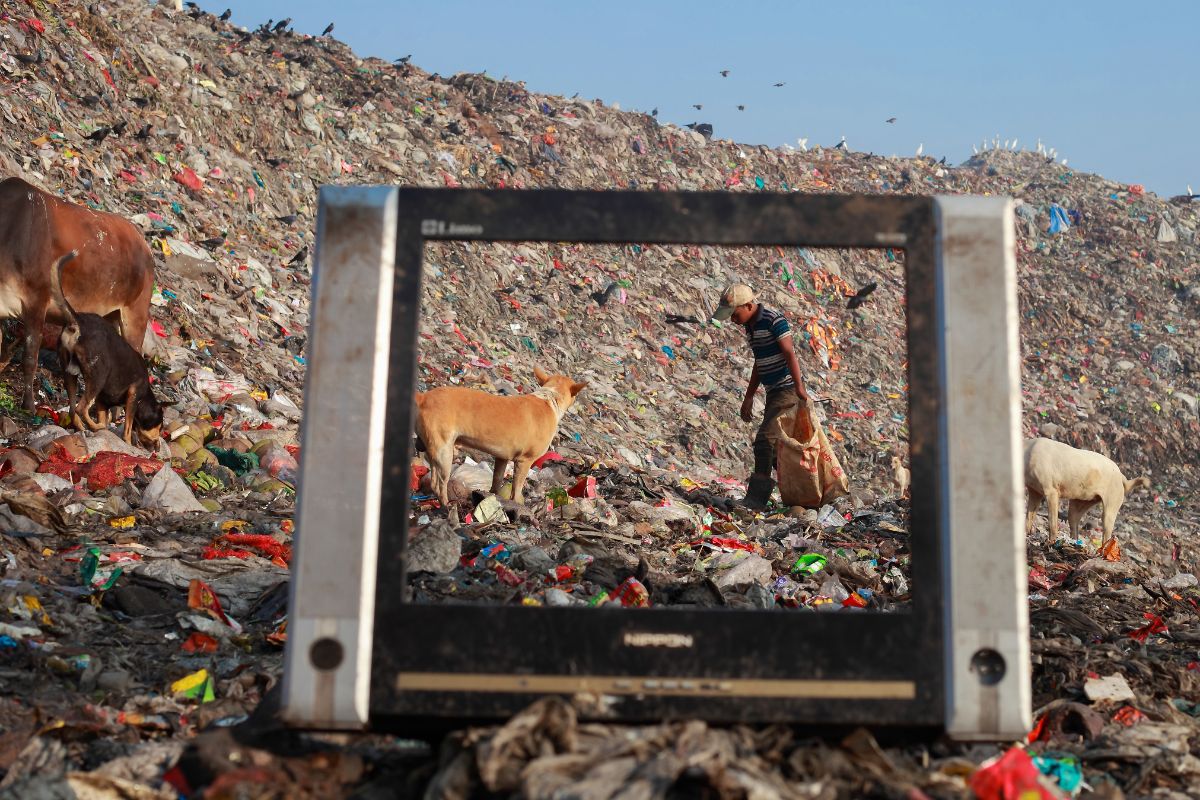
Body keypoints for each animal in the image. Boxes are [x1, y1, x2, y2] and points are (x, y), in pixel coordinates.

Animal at [0, 177, 154, 410]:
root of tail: (145, 246)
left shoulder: (36, 302)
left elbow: (30, 357)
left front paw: (28, 405)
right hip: (111, 319)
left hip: (135, 315)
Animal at [51, 253, 162, 448]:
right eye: (160, 425)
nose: (158, 446)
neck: (145, 396)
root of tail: (78, 320)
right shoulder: (133, 396)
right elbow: (127, 427)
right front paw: (127, 442)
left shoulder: (103, 401)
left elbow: (105, 416)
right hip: (98, 376)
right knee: (81, 408)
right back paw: (95, 427)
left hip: (69, 372)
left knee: (73, 409)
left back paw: (84, 428)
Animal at [415, 367, 588, 510]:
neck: (550, 398)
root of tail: (423, 397)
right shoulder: (524, 462)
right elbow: (517, 488)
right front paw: (516, 504)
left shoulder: (501, 458)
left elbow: (497, 480)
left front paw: (493, 498)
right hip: (444, 453)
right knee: (439, 484)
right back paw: (446, 506)